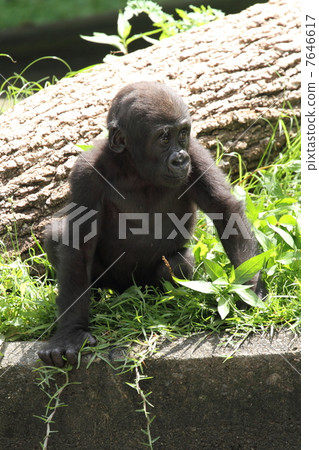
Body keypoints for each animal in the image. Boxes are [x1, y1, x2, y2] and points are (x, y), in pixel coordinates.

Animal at [38, 81, 266, 370]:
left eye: (182, 134)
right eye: (164, 138)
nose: (180, 159)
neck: (134, 167)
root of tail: (128, 291)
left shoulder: (196, 154)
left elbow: (225, 210)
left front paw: (250, 290)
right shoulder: (86, 173)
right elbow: (78, 240)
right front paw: (71, 332)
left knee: (178, 262)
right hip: (112, 283)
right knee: (57, 235)